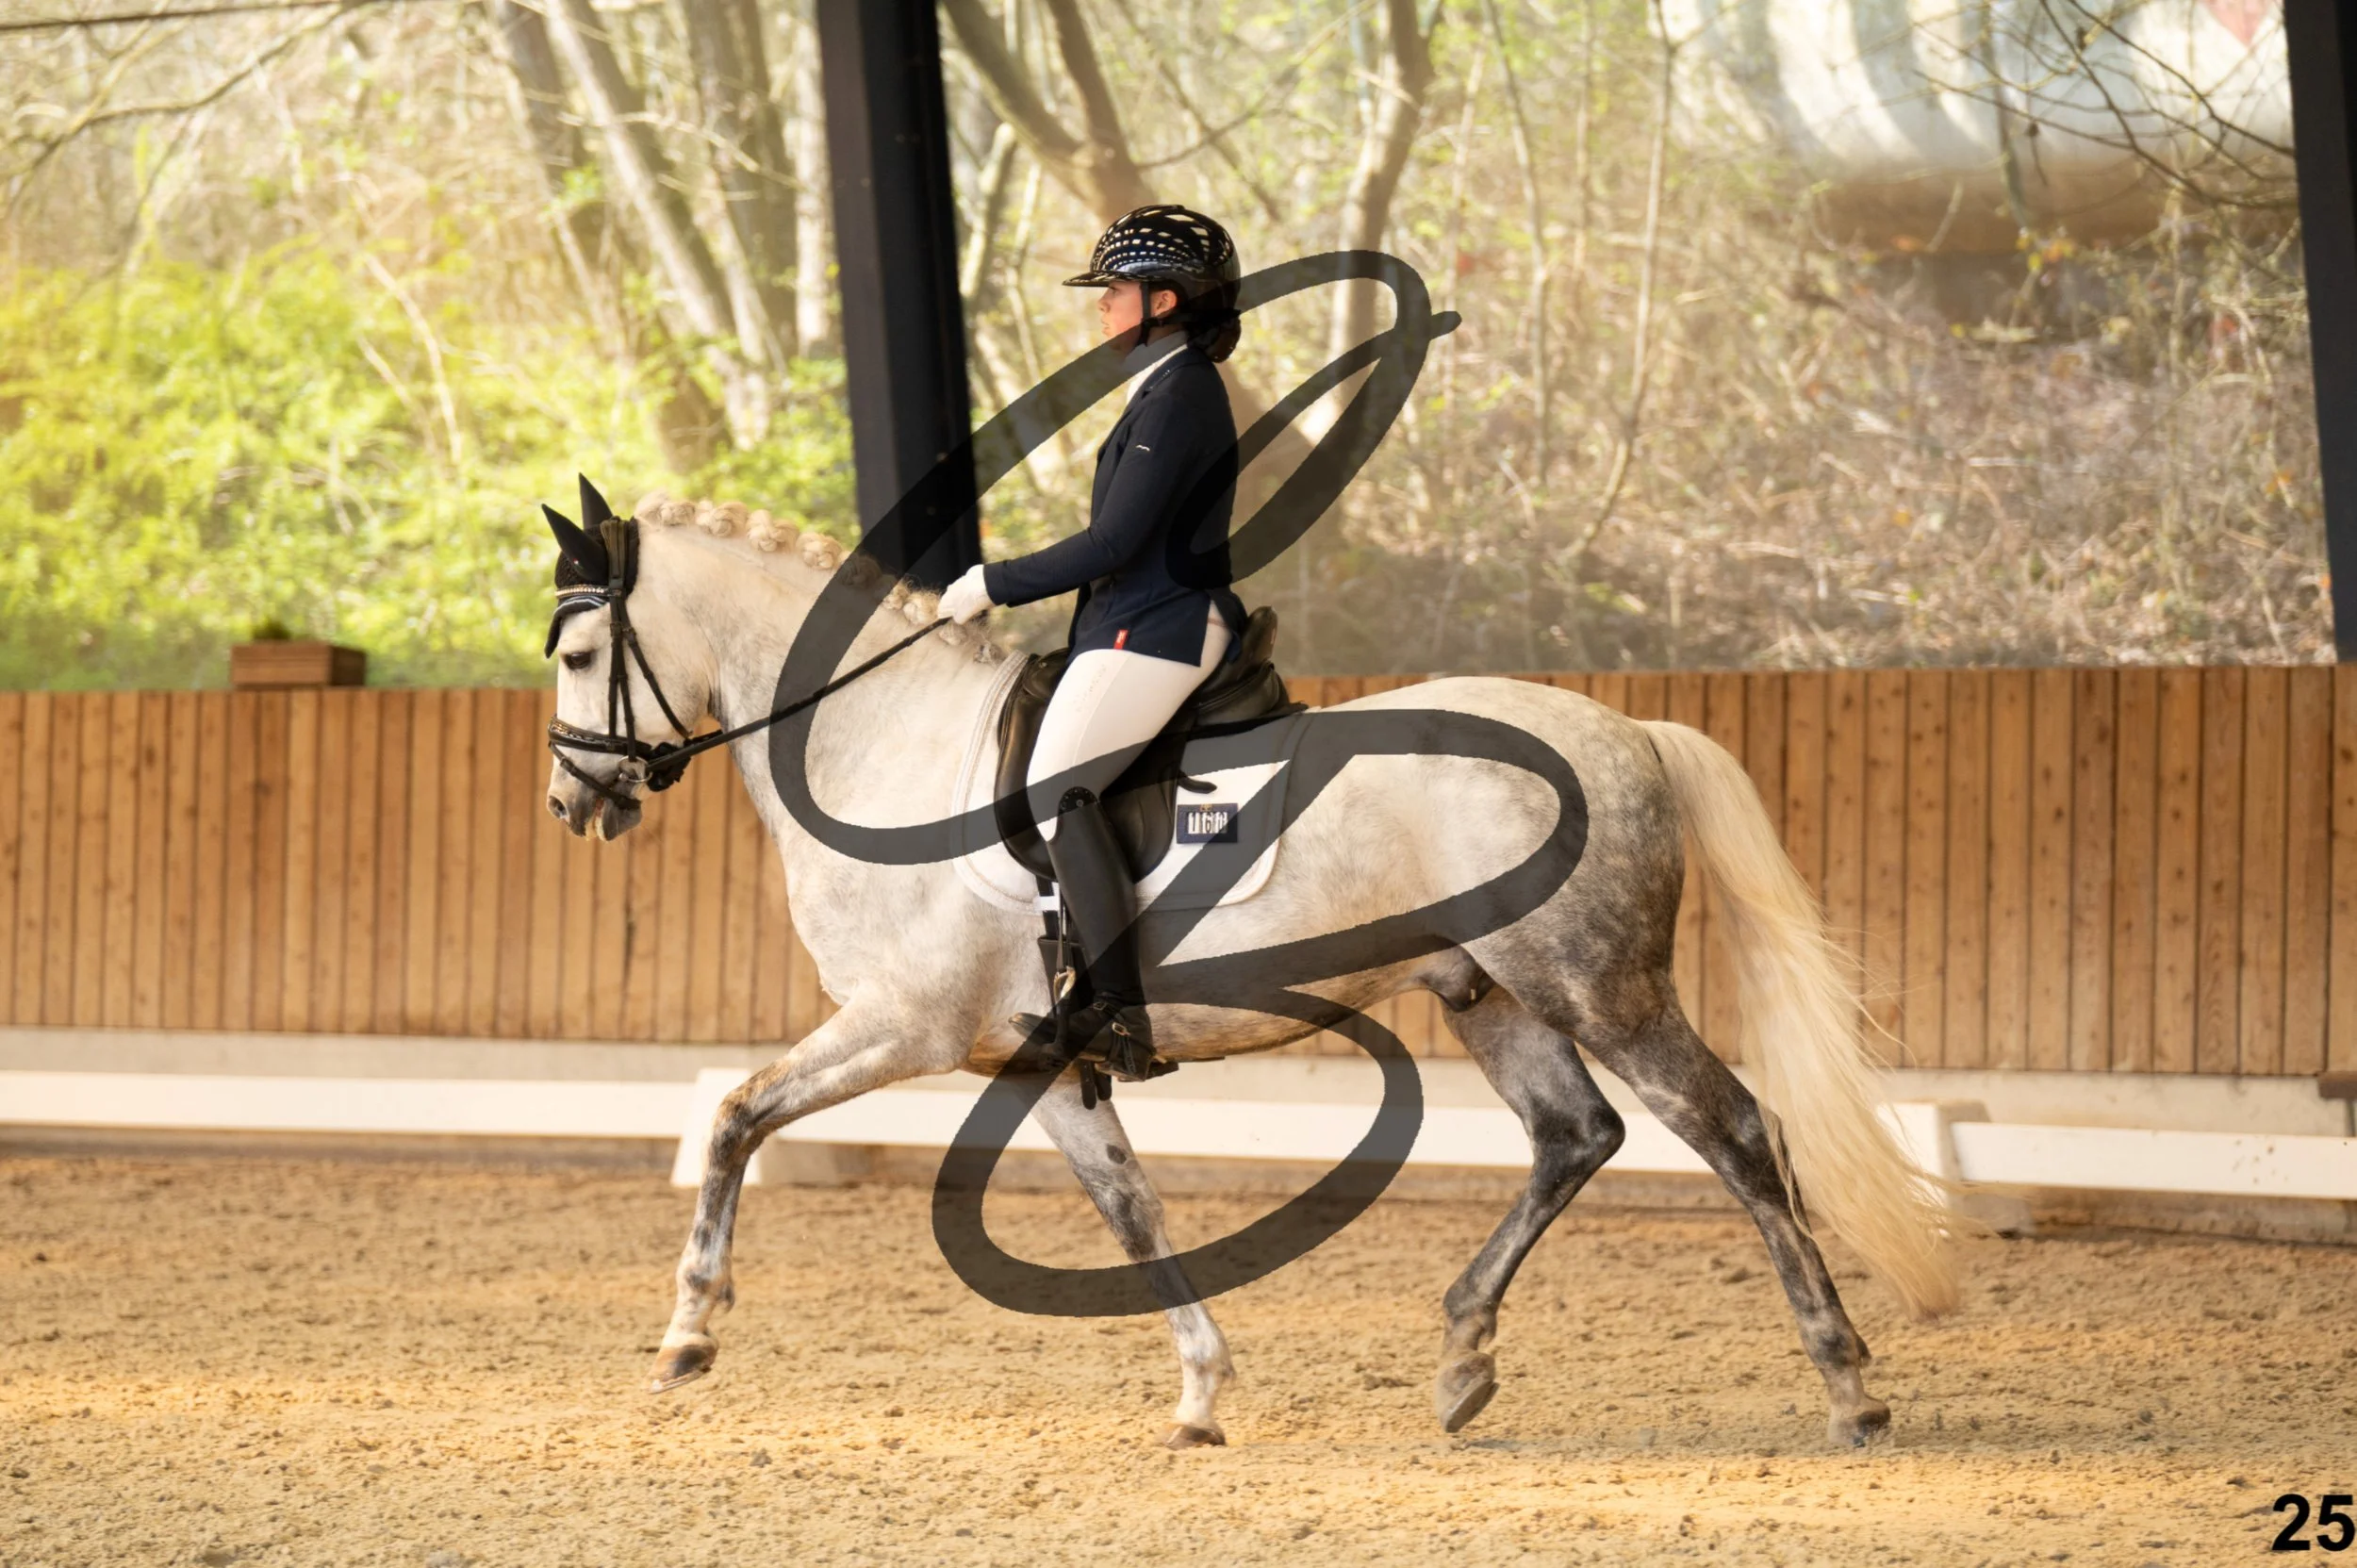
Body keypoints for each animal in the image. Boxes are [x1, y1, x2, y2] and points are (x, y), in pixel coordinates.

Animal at [538, 488, 1963, 1452]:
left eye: (574, 655)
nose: (570, 801)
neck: (883, 745)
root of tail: (1630, 727)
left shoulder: (905, 1023)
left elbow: (735, 1116)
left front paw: (688, 1330)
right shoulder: (1036, 1058)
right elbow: (1133, 1209)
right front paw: (1201, 1392)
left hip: (1598, 984)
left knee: (1734, 1132)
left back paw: (1850, 1384)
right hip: (1492, 991)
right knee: (1577, 1135)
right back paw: (1462, 1359)